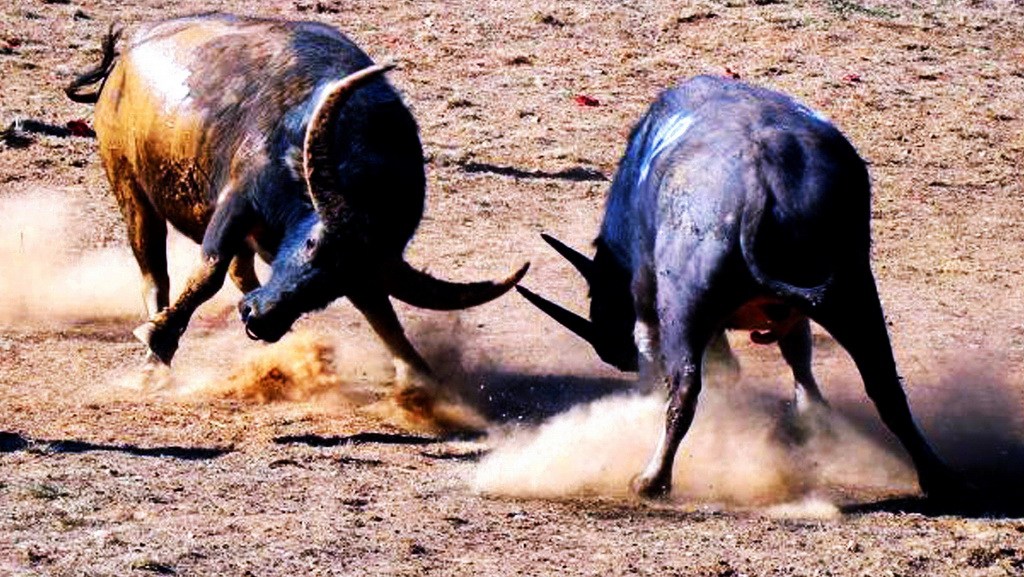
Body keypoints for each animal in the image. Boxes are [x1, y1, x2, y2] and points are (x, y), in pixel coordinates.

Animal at [66, 14, 528, 375]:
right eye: (311, 243)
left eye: (336, 284)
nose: (260, 320)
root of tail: (123, 59)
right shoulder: (238, 200)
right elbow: (208, 271)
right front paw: (157, 337)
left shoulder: (365, 273)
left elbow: (382, 314)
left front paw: (421, 378)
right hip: (129, 187)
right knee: (155, 273)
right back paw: (156, 353)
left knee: (239, 271)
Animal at [516, 76, 962, 502]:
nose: (614, 356)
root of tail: (758, 182)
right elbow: (798, 354)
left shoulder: (644, 293)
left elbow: (654, 351)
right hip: (854, 292)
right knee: (885, 386)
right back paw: (935, 475)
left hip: (684, 306)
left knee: (684, 389)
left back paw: (652, 479)